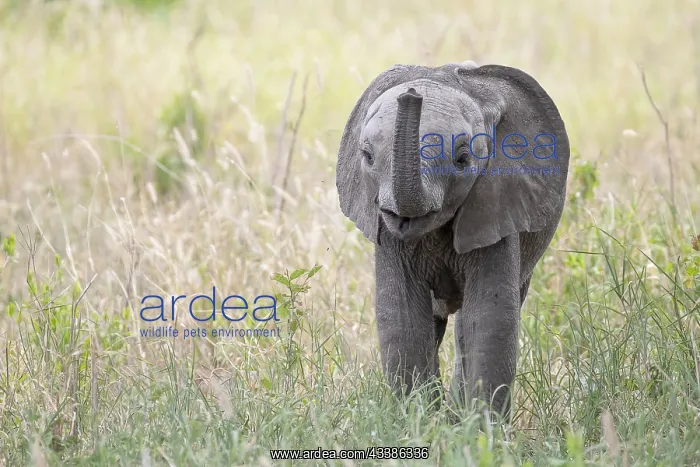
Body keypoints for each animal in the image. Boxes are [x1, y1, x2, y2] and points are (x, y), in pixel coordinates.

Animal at [335, 60, 570, 419]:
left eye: (462, 160)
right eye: (367, 156)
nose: (411, 94)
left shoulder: (497, 202)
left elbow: (490, 318)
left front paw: (481, 428)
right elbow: (402, 317)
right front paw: (419, 422)